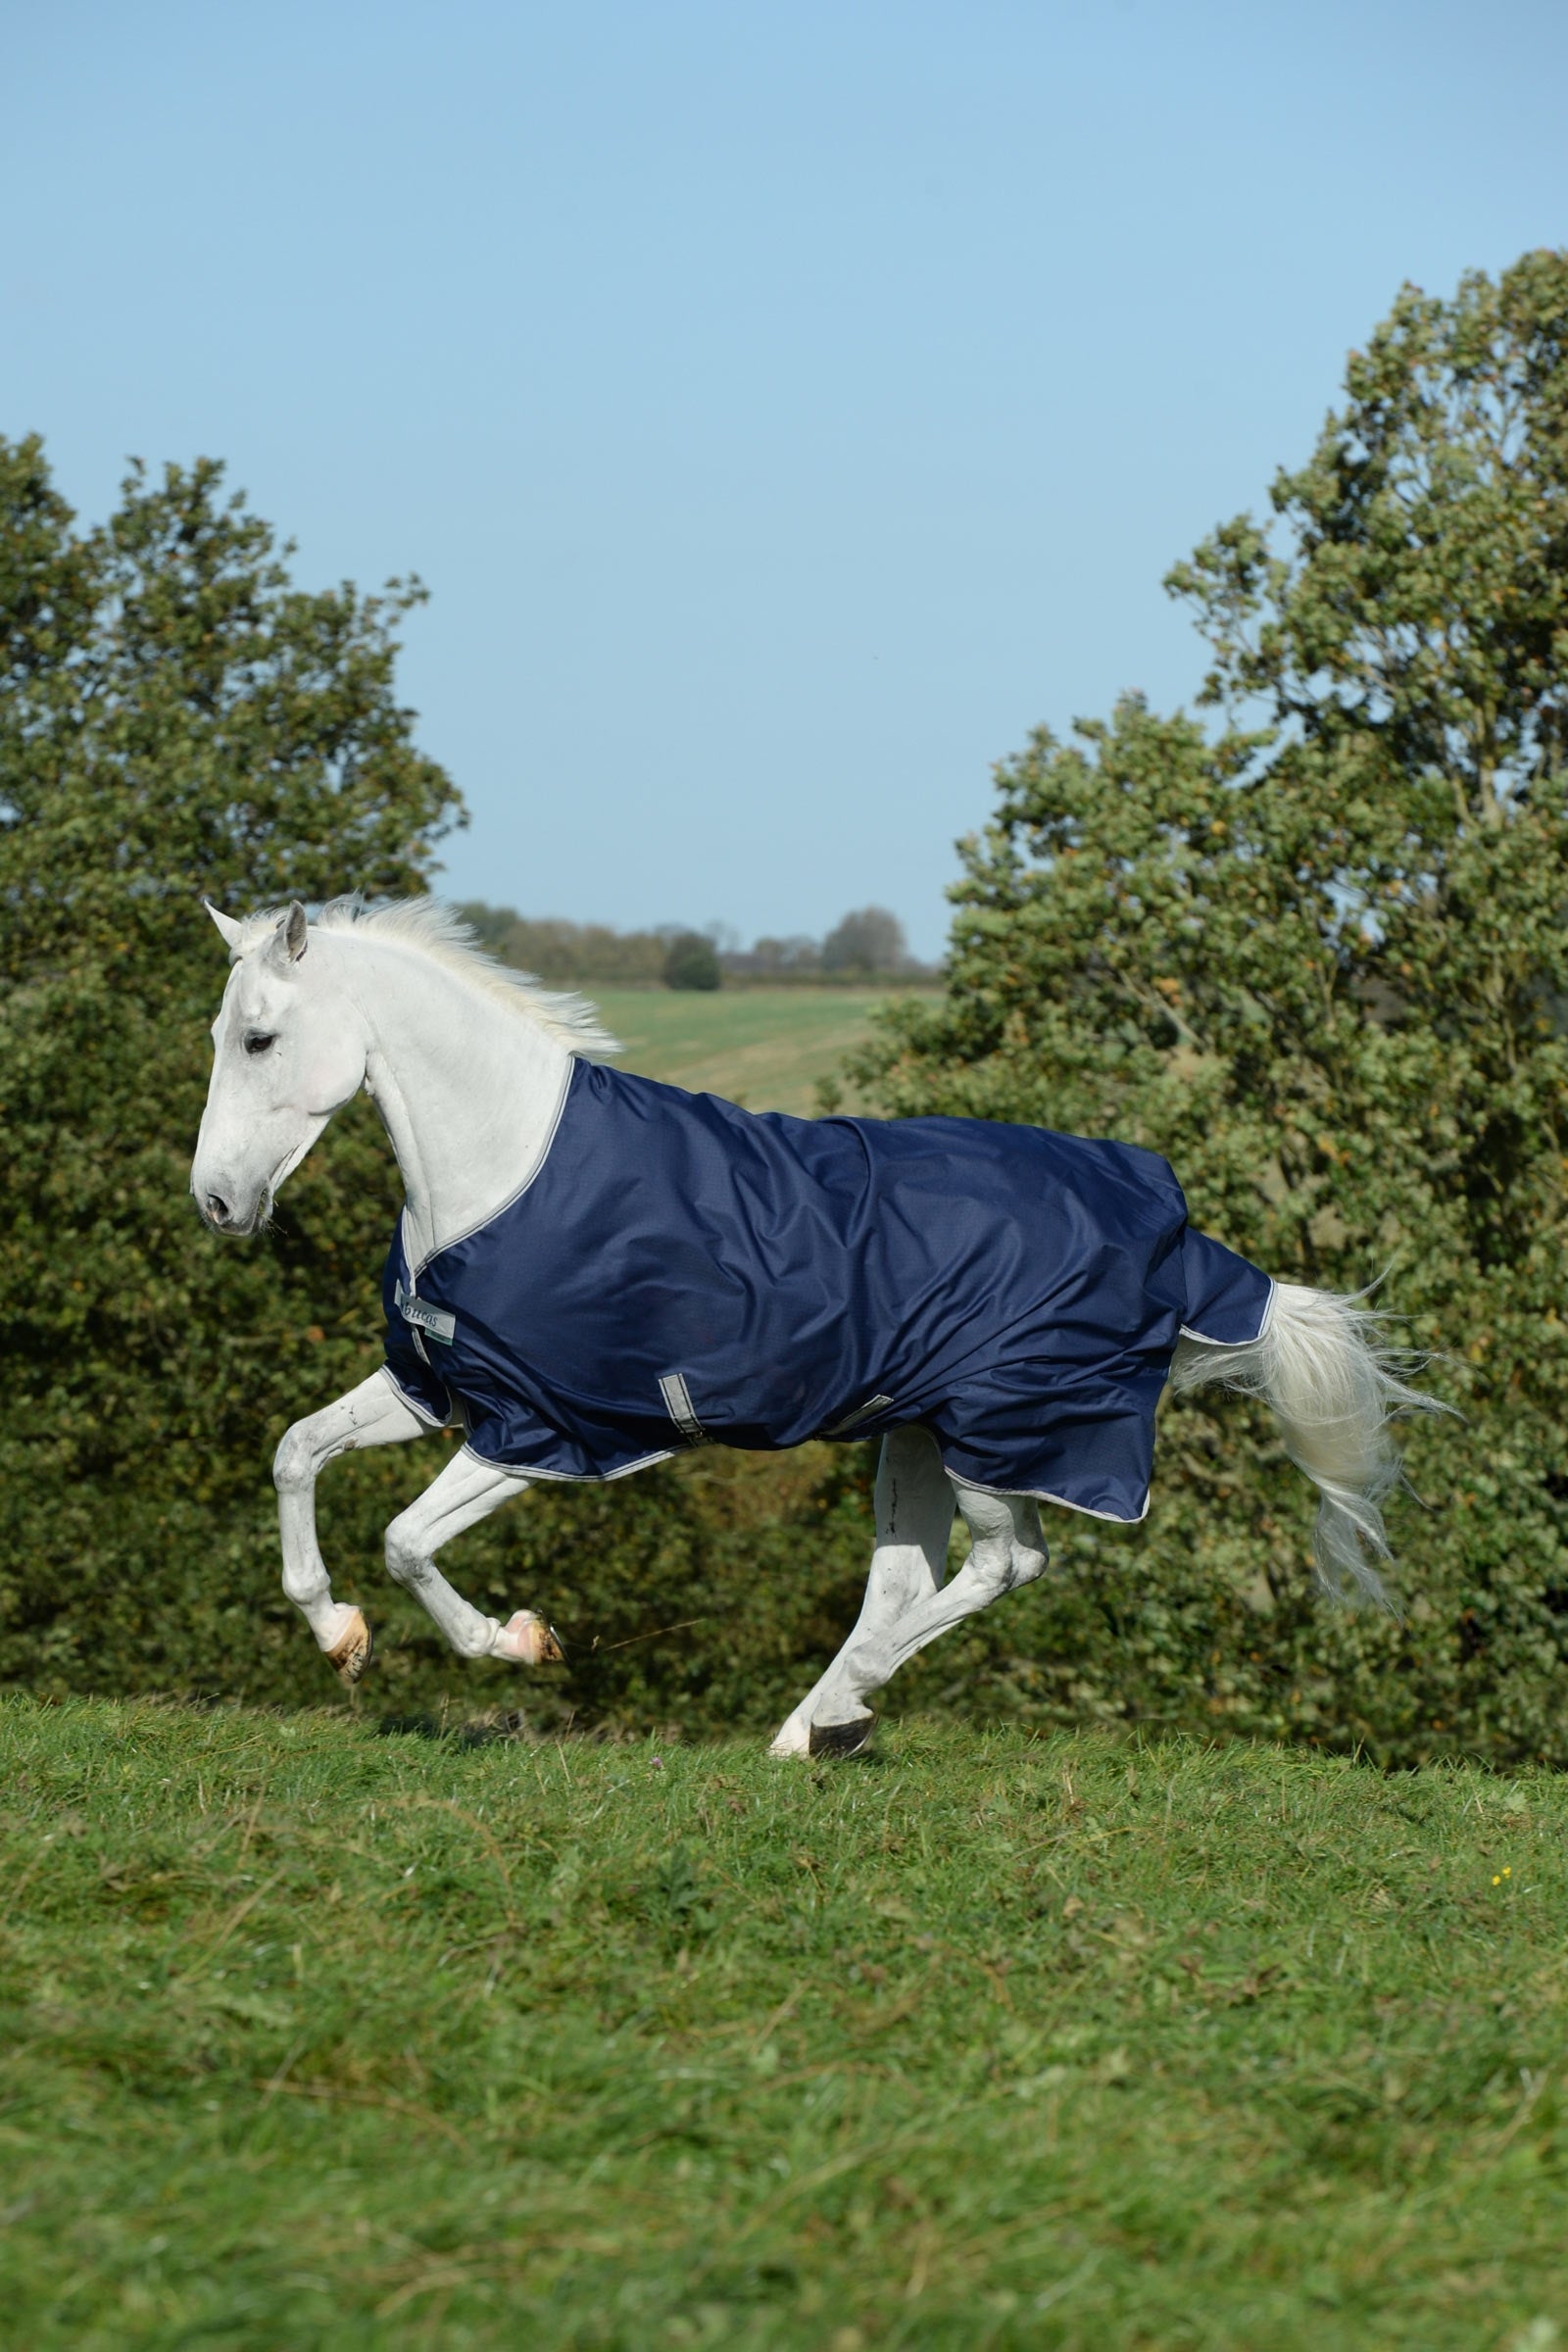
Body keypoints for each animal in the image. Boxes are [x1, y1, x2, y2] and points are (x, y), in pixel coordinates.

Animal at [191, 895, 1434, 1757]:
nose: (216, 1204)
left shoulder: (548, 1432)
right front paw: (337, 1636)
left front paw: (515, 1641)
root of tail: (1179, 1239)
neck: (506, 1172)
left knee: (1005, 1564)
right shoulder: (439, 1388)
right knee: (910, 1577)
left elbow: (407, 1539)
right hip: (919, 1433)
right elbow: (294, 1452)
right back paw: (814, 1727)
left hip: (997, 1435)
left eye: (257, 1040)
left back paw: (841, 1708)